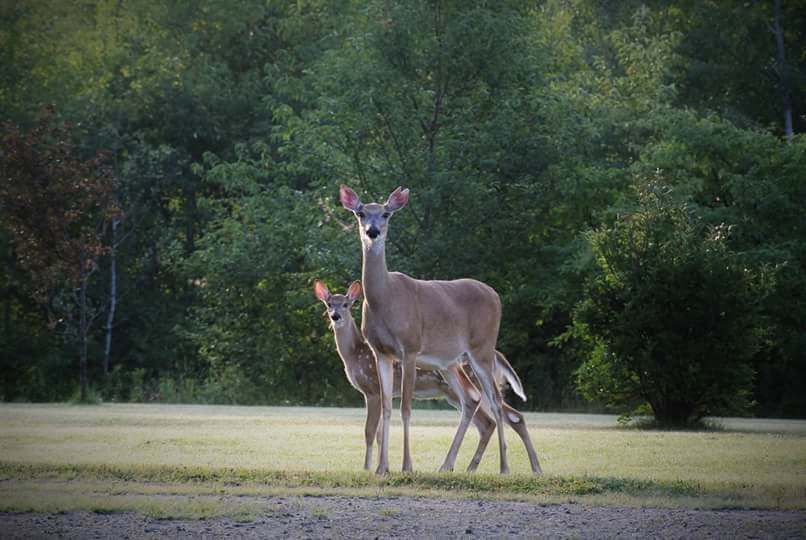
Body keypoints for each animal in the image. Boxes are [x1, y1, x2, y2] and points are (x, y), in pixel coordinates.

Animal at [316, 278, 544, 472]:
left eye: (347, 304)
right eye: (329, 304)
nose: (335, 317)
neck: (354, 354)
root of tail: (498, 356)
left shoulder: (371, 389)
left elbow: (370, 431)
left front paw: (366, 468)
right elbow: (379, 432)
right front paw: (379, 466)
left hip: (468, 384)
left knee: (502, 417)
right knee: (498, 419)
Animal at [344, 185, 528, 472]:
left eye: (386, 213)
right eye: (360, 212)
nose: (372, 231)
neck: (385, 300)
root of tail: (496, 296)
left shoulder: (409, 347)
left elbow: (406, 408)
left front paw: (406, 466)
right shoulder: (380, 352)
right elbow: (387, 408)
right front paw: (382, 468)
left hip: (482, 349)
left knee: (497, 403)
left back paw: (504, 468)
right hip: (451, 363)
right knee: (472, 402)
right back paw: (449, 466)